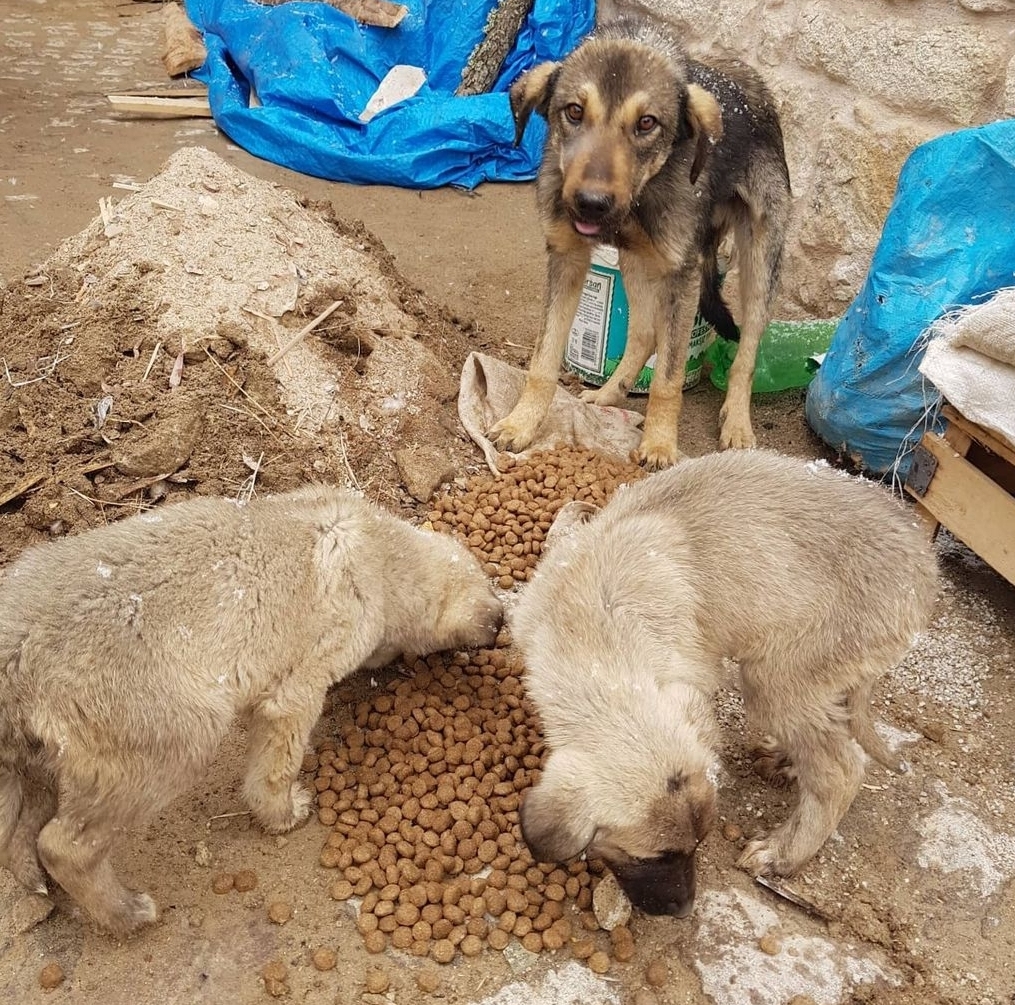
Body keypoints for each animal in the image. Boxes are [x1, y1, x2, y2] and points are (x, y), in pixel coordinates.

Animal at [491, 18, 791, 469]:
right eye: (574, 112)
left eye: (647, 123)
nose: (590, 204)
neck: (637, 202)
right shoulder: (566, 258)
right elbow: (543, 360)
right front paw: (521, 423)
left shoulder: (682, 276)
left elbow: (668, 379)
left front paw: (661, 444)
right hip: (637, 260)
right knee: (646, 332)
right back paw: (608, 394)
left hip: (758, 257)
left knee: (748, 348)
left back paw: (737, 423)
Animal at [511, 454, 937, 921]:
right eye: (651, 857)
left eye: (696, 847)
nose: (684, 911)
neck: (593, 631)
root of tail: (925, 570)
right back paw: (785, 759)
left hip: (774, 675)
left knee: (840, 769)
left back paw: (783, 852)